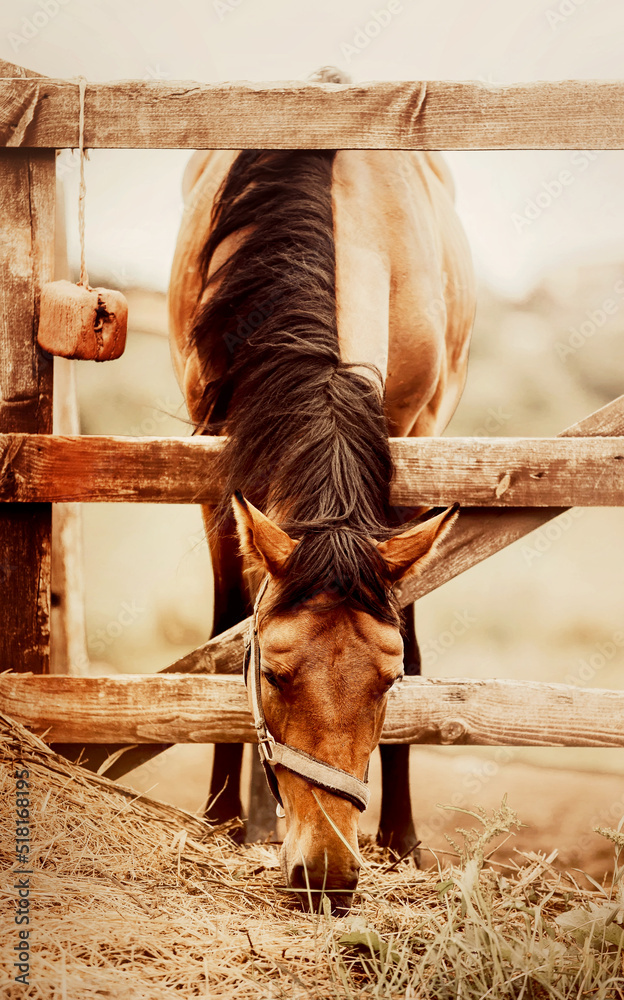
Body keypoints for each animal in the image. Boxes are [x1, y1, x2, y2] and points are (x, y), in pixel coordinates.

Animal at [168, 70, 476, 910]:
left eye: (387, 682)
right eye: (274, 674)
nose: (328, 874)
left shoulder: (414, 443)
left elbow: (414, 633)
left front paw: (403, 837)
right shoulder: (216, 462)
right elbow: (229, 626)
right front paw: (222, 817)